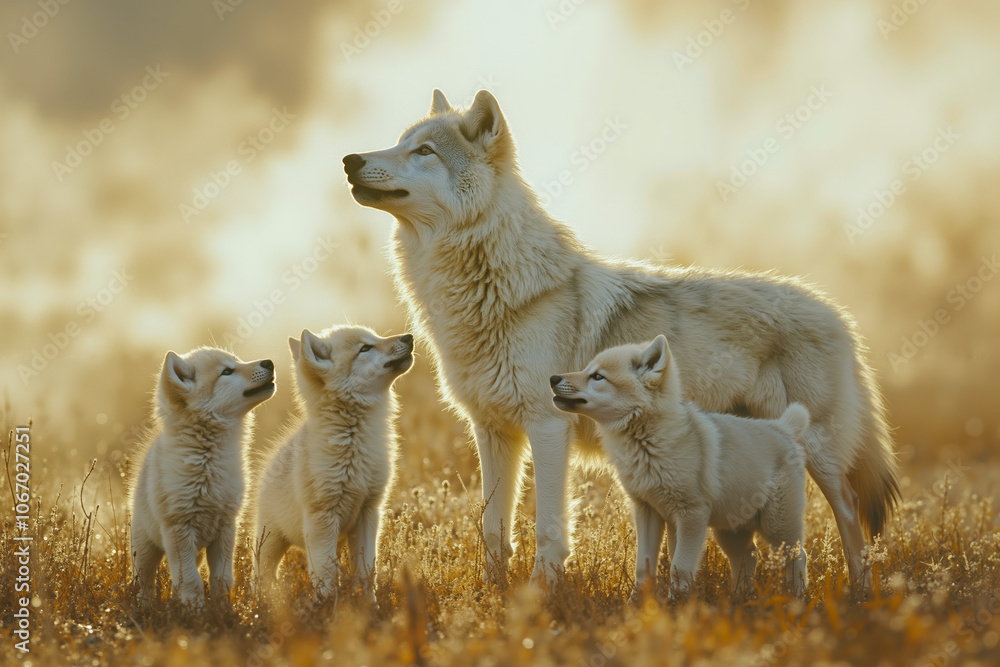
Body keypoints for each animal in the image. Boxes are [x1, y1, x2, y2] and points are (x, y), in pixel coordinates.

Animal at [129, 347, 276, 605]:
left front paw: (222, 609)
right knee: (145, 583)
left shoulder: (226, 528)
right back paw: (145, 606)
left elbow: (221, 578)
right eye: (227, 372)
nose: (269, 362)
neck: (209, 462)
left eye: (237, 361)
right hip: (146, 549)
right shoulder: (179, 530)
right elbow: (192, 582)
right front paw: (195, 610)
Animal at [253, 326, 413, 599]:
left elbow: (366, 573)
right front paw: (328, 607)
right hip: (272, 542)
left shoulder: (369, 511)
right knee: (262, 577)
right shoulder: (323, 517)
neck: (354, 443)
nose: (409, 337)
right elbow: (327, 578)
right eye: (365, 348)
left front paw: (369, 605)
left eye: (375, 337)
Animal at [552, 335, 809, 598]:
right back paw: (739, 597)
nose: (553, 378)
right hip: (730, 529)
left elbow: (679, 567)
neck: (647, 443)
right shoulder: (648, 512)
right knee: (749, 556)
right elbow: (644, 568)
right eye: (586, 369)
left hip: (777, 528)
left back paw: (796, 597)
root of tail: (784, 428)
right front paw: (637, 602)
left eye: (597, 376)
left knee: (797, 556)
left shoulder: (691, 515)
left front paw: (677, 602)